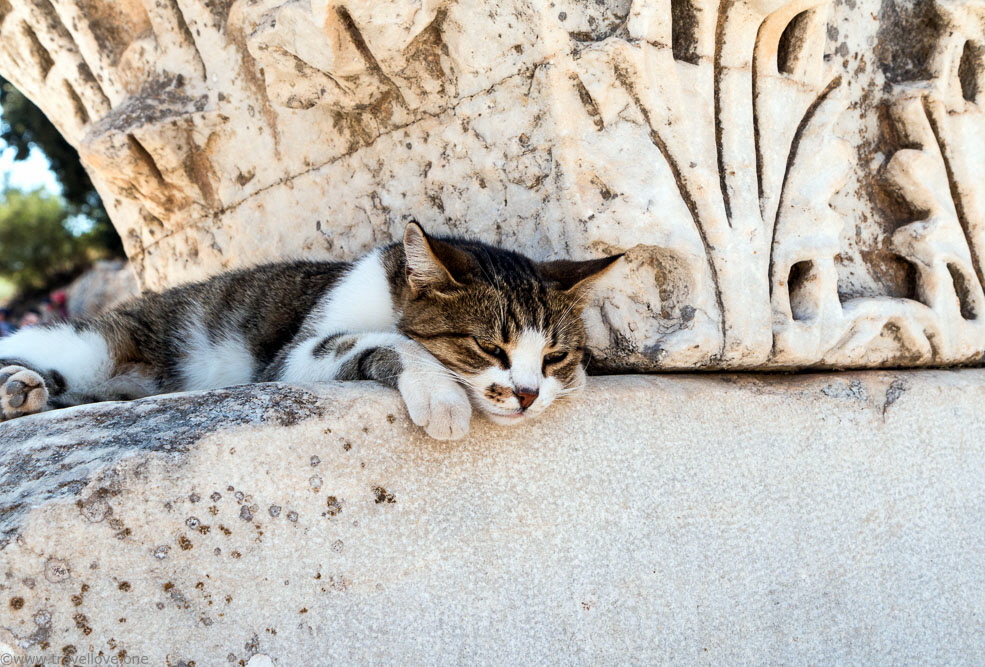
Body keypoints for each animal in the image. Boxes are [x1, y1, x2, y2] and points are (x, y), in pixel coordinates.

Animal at [0, 223, 620, 438]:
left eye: (555, 356)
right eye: (489, 347)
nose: (527, 394)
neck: (388, 293)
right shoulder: (289, 360)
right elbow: (384, 340)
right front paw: (439, 394)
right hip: (88, 347)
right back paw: (18, 386)